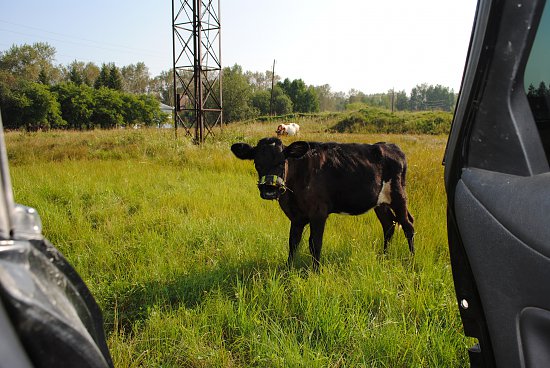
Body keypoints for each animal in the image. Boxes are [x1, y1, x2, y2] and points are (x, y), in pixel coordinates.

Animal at [231, 138, 416, 270]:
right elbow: (293, 242)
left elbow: (315, 243)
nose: (269, 189)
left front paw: (316, 271)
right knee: (389, 225)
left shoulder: (318, 213)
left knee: (408, 226)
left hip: (399, 196)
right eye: (257, 163)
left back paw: (411, 261)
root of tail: (392, 146)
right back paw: (384, 257)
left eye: (282, 161)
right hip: (380, 203)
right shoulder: (296, 217)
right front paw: (288, 269)